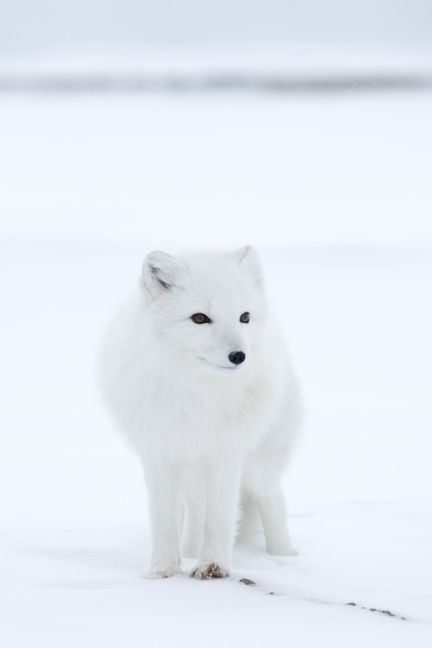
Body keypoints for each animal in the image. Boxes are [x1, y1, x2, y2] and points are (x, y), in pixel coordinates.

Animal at [98, 246, 300, 580]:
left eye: (244, 317)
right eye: (200, 318)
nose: (239, 356)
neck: (198, 392)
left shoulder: (226, 452)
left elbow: (220, 515)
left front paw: (213, 566)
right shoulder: (159, 453)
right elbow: (164, 519)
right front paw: (163, 569)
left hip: (259, 465)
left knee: (273, 498)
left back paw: (283, 556)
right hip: (192, 475)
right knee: (194, 512)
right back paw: (190, 550)